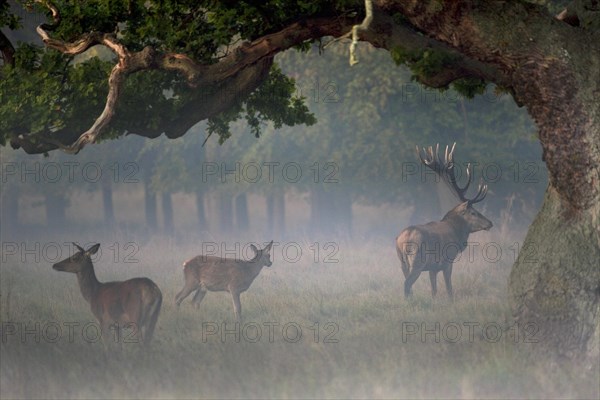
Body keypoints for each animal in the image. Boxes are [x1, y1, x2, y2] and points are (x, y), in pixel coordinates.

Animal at [394, 143, 492, 296]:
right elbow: (449, 289)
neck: (456, 233)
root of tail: (402, 239)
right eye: (473, 212)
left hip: (402, 262)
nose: (490, 223)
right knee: (407, 284)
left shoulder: (432, 268)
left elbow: (434, 290)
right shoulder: (447, 261)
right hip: (417, 261)